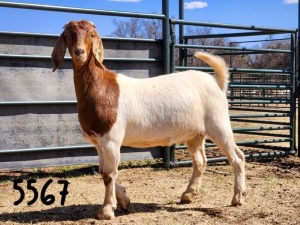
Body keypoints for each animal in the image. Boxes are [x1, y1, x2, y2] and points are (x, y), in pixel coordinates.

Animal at [51, 19, 246, 220]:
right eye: (67, 36)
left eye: (90, 34)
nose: (79, 52)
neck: (102, 87)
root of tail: (217, 81)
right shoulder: (99, 141)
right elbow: (103, 171)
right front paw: (124, 200)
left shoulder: (111, 139)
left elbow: (109, 174)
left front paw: (106, 210)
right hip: (195, 133)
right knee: (200, 161)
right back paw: (188, 195)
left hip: (218, 123)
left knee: (237, 157)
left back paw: (237, 198)